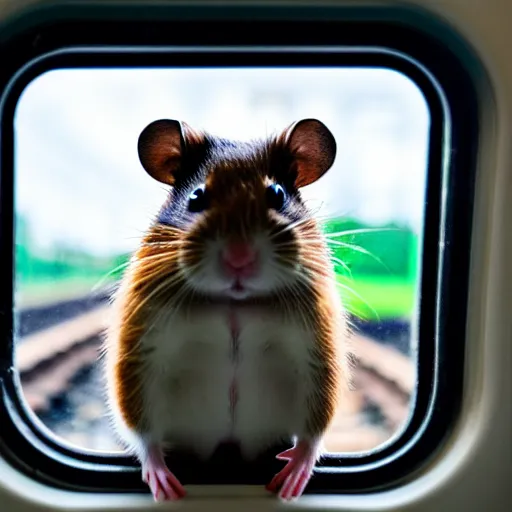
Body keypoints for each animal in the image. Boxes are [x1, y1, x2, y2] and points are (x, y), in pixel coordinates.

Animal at [105, 116, 350, 500]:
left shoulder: (317, 351)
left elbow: (314, 427)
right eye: (196, 196)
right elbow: (143, 428)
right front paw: (166, 486)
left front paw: (290, 482)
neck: (236, 301)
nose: (239, 258)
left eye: (277, 194)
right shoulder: (141, 350)